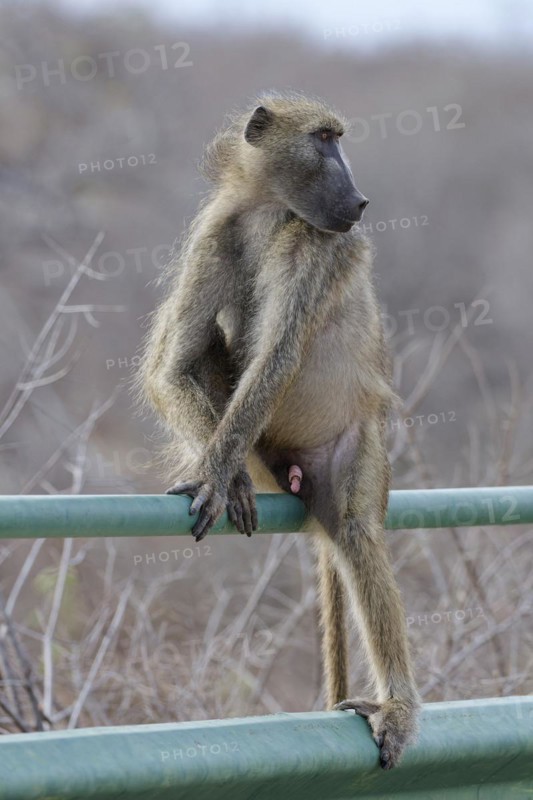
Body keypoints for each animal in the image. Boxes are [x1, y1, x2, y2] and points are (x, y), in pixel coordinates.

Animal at [133, 91, 420, 769]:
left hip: (352, 447)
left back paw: (397, 707)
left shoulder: (314, 243)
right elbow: (171, 366)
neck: (271, 209)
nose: (360, 200)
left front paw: (215, 474)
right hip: (269, 453)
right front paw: (223, 475)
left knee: (355, 530)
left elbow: (277, 357)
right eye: (325, 139)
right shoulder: (217, 233)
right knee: (208, 347)